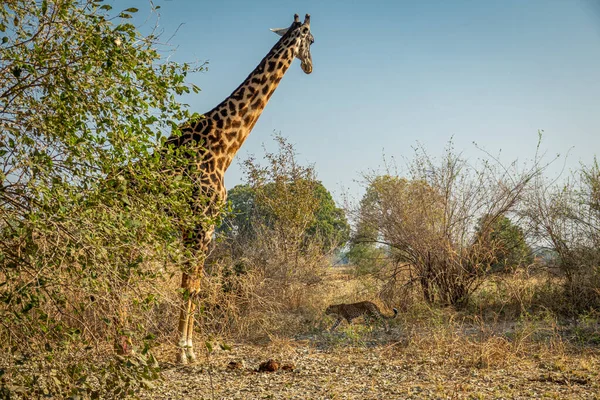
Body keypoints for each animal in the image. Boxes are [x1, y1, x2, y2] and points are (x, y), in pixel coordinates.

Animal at [164, 14, 314, 364]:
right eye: (312, 41)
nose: (310, 67)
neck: (223, 146)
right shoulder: (200, 224)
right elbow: (191, 286)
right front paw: (184, 352)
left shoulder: (198, 228)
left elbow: (192, 285)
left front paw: (187, 349)